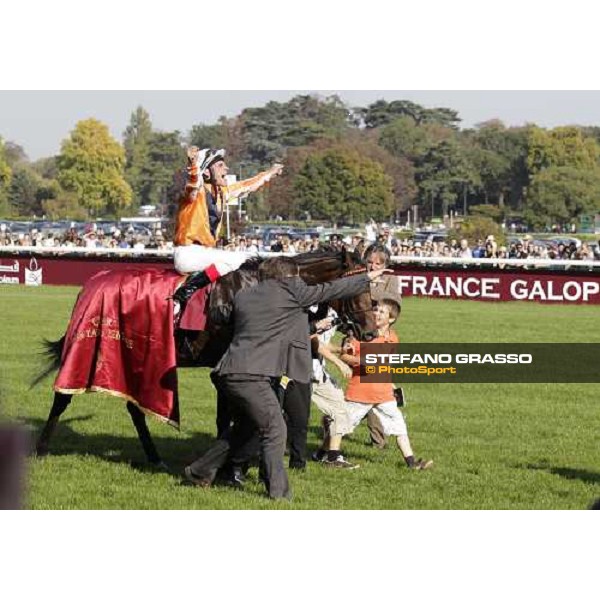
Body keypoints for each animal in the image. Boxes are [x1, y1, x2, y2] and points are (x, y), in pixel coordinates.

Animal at [34, 248, 376, 468]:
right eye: (359, 288)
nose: (370, 331)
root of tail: (92, 283)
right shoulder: (228, 361)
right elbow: (232, 413)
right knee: (62, 397)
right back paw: (41, 449)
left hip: (133, 358)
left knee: (134, 407)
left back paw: (154, 457)